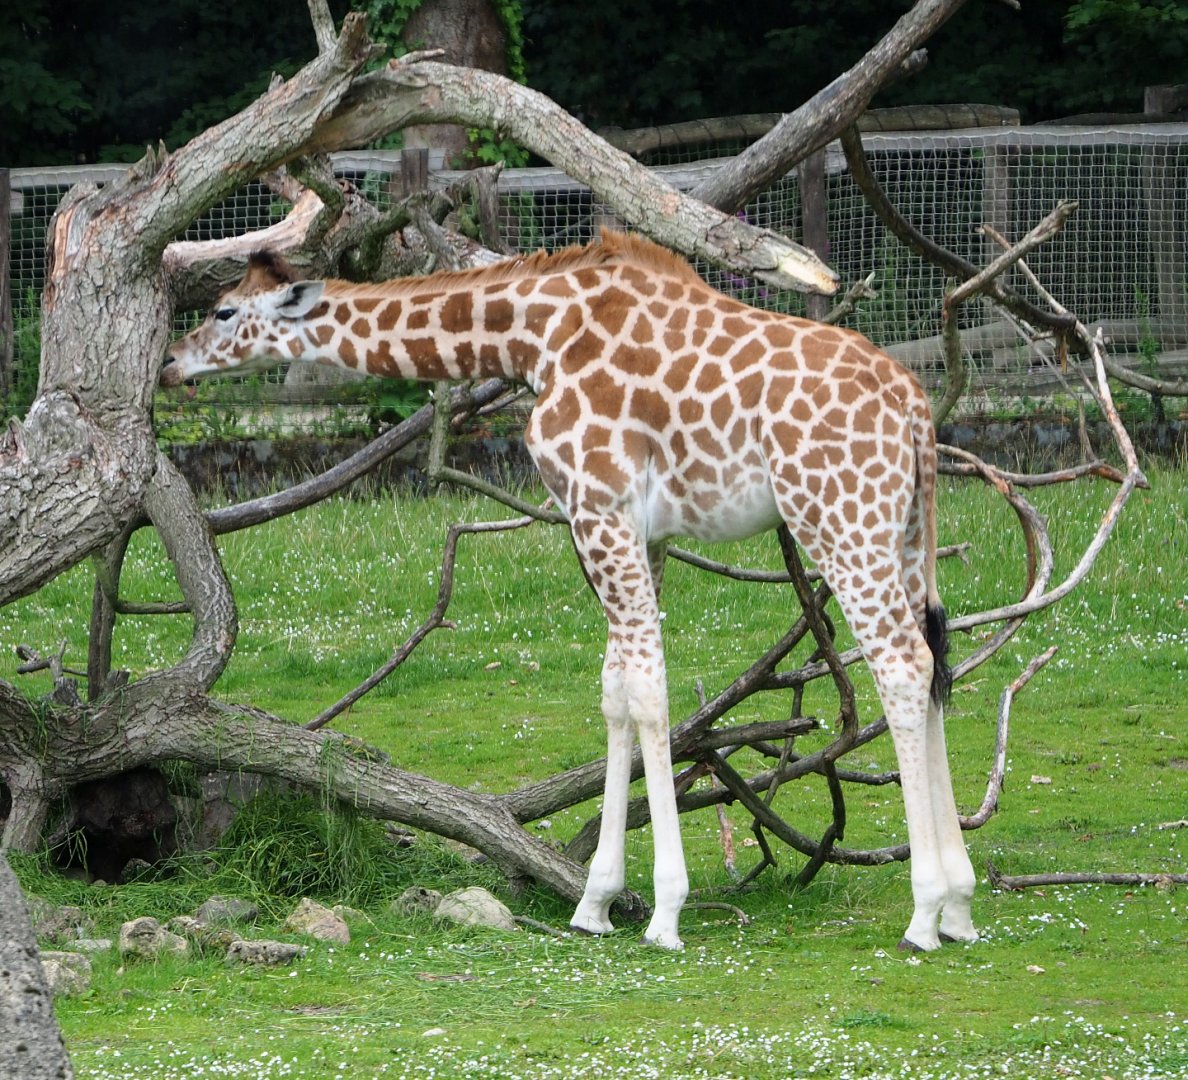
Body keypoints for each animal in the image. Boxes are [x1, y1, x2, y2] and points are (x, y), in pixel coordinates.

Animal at [161, 231, 978, 953]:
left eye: (225, 311)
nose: (170, 362)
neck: (534, 338)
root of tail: (914, 405)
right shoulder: (643, 531)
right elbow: (616, 691)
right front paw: (595, 902)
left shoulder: (598, 507)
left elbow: (647, 692)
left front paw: (665, 913)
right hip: (905, 529)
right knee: (934, 661)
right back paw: (961, 908)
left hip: (837, 518)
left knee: (901, 665)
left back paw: (923, 913)